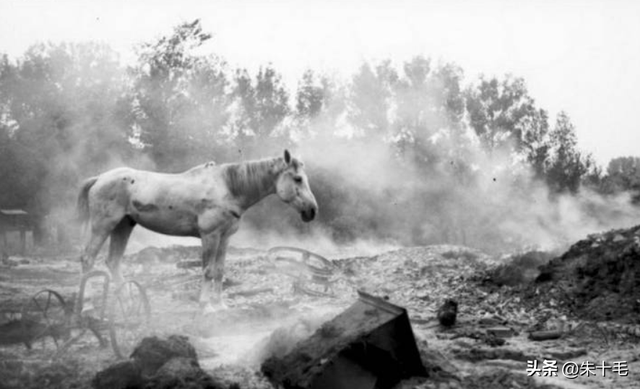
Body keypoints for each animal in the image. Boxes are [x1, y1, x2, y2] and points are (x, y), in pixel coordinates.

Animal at [77, 150, 318, 310]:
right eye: (297, 178)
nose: (312, 210)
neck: (228, 188)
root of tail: (99, 178)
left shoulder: (224, 237)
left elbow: (219, 271)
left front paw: (220, 306)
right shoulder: (210, 236)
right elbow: (208, 271)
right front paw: (205, 306)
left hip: (123, 225)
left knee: (113, 262)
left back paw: (127, 303)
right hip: (104, 224)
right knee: (88, 259)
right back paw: (85, 304)